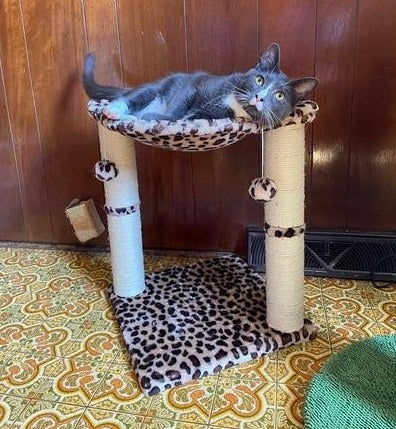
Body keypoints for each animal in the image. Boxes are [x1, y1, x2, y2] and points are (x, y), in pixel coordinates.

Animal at [83, 44, 318, 127]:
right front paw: (159, 118)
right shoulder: (196, 86)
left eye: (279, 96)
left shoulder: (213, 115)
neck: (236, 103)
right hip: (160, 87)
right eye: (259, 80)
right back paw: (115, 111)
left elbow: (187, 117)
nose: (259, 97)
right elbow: (177, 108)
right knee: (132, 98)